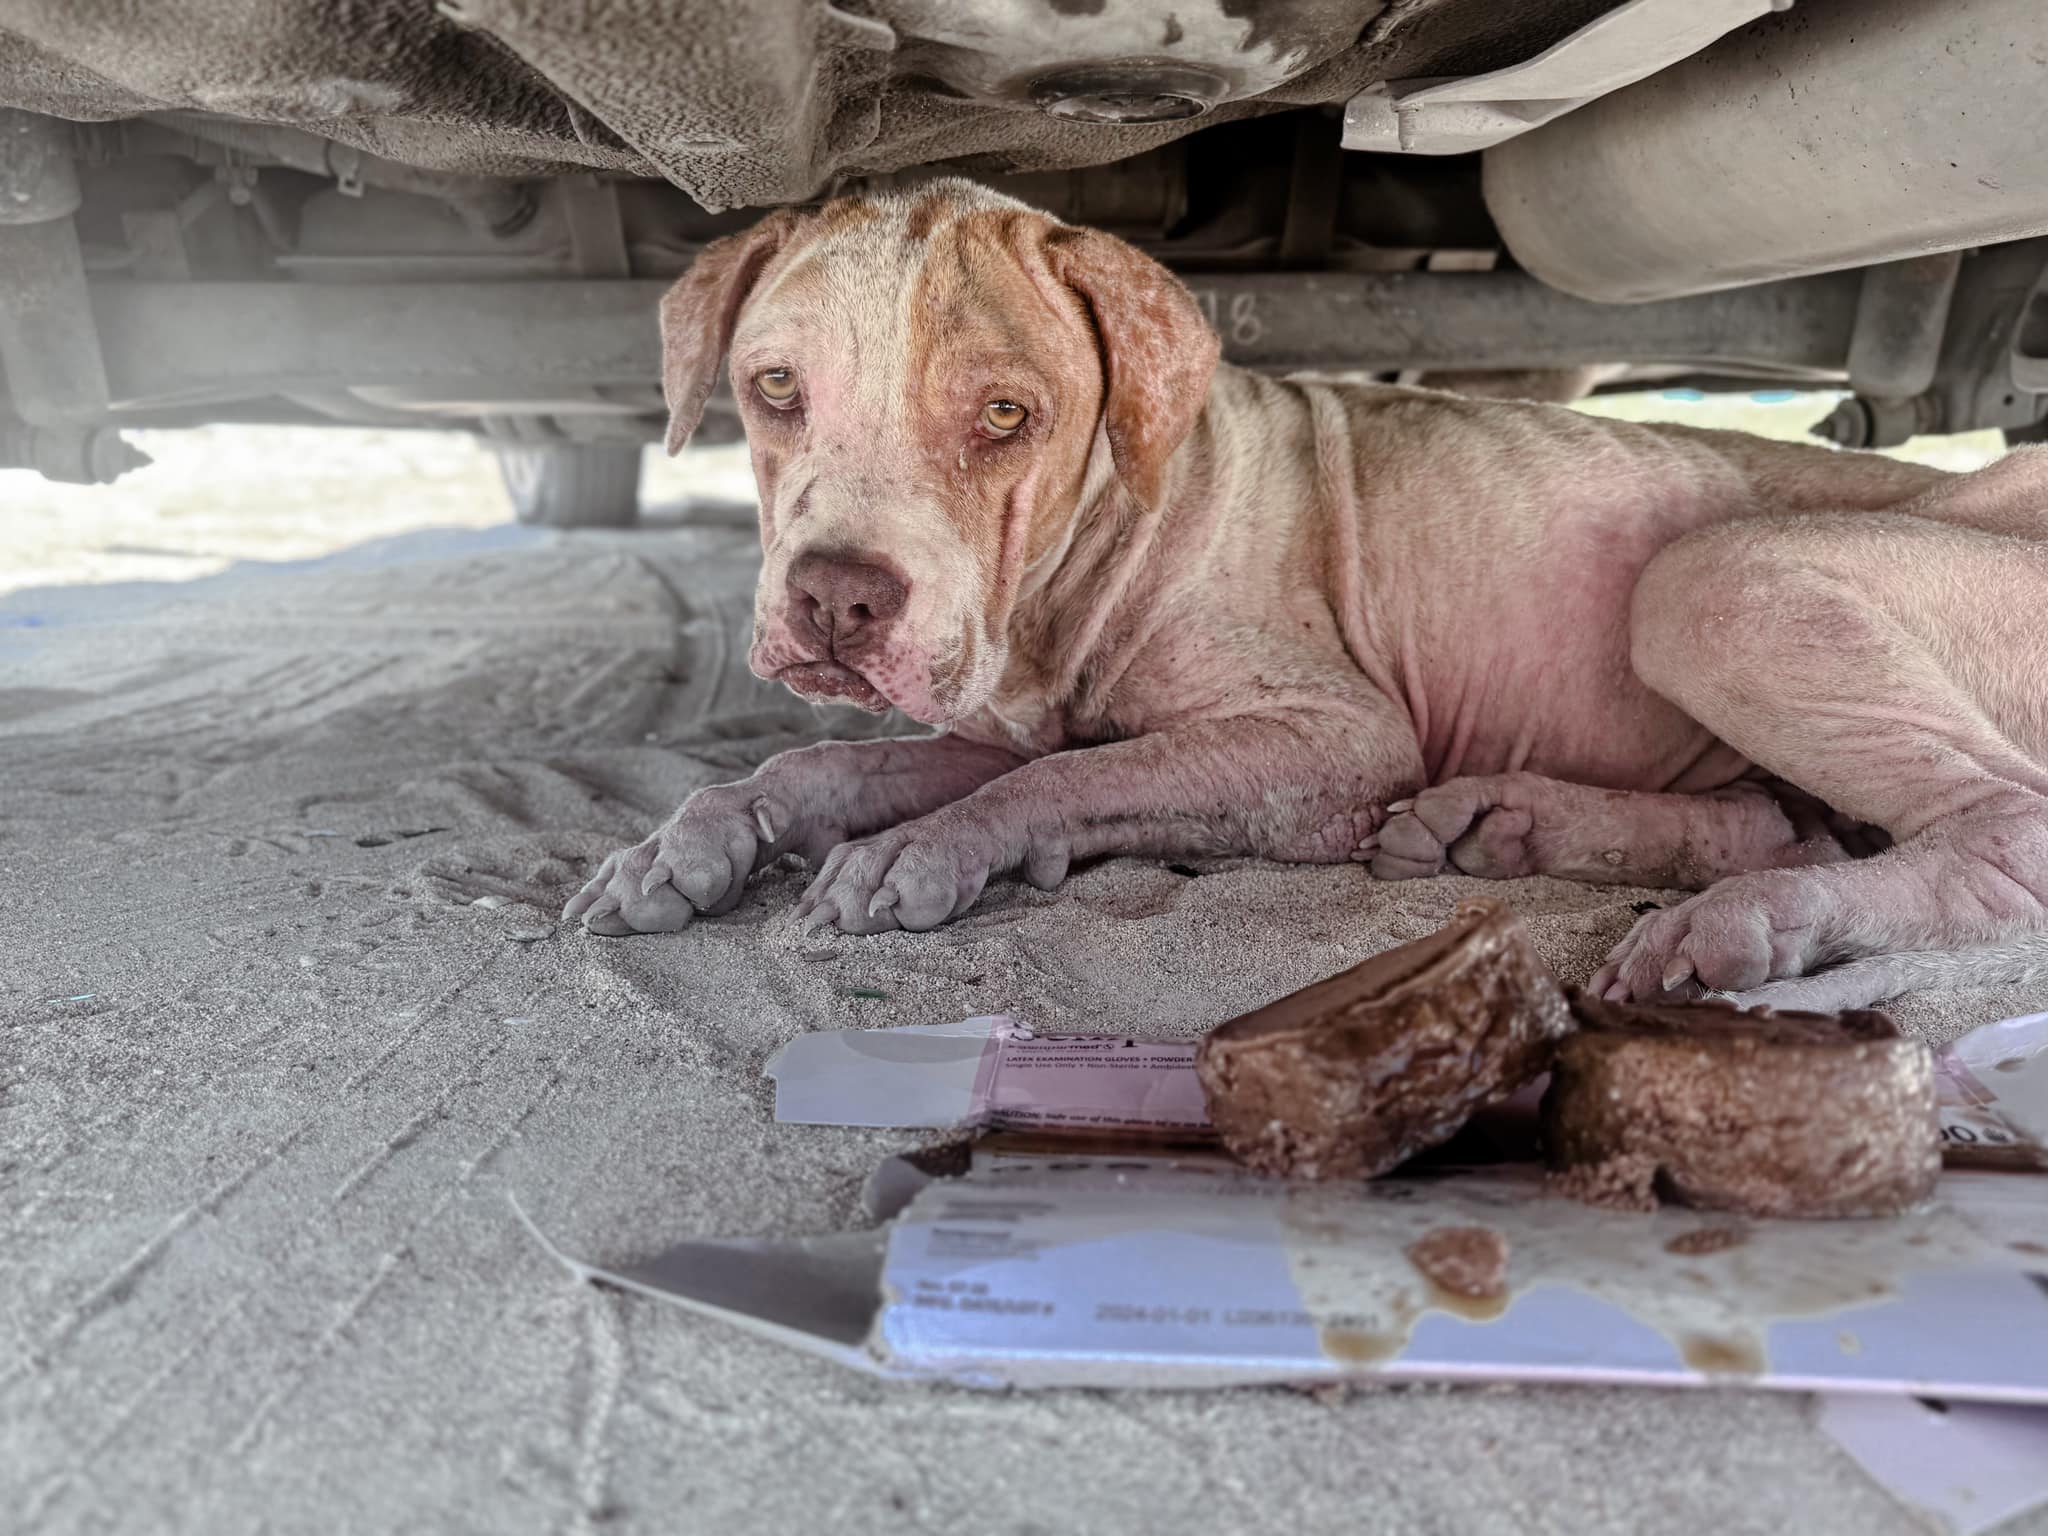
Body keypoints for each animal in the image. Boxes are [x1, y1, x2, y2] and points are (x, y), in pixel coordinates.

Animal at [561, 177, 2048, 1011]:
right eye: (771, 390)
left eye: (1004, 415)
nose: (836, 604)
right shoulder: (1004, 709)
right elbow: (831, 763)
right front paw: (688, 841)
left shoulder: (1329, 736)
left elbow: (1059, 781)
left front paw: (923, 853)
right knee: (1777, 821)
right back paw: (1512, 827)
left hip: (1717, 581)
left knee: (2003, 832)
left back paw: (1753, 923)